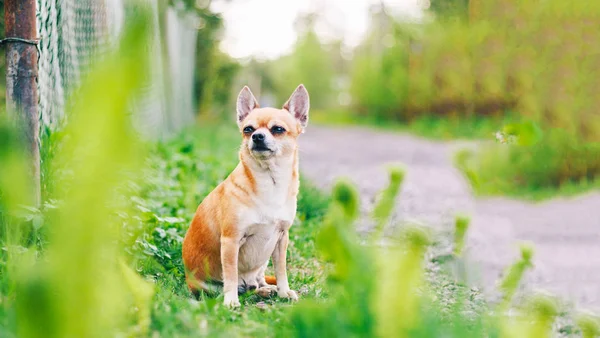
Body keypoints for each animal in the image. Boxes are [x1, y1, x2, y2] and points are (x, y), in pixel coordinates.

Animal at [183, 84, 310, 306]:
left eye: (278, 129)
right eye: (247, 129)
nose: (257, 136)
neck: (269, 181)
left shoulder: (281, 239)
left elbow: (281, 270)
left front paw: (284, 291)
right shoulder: (231, 241)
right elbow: (231, 274)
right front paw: (231, 301)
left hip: (262, 262)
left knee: (257, 282)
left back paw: (267, 289)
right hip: (205, 285)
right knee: (233, 287)